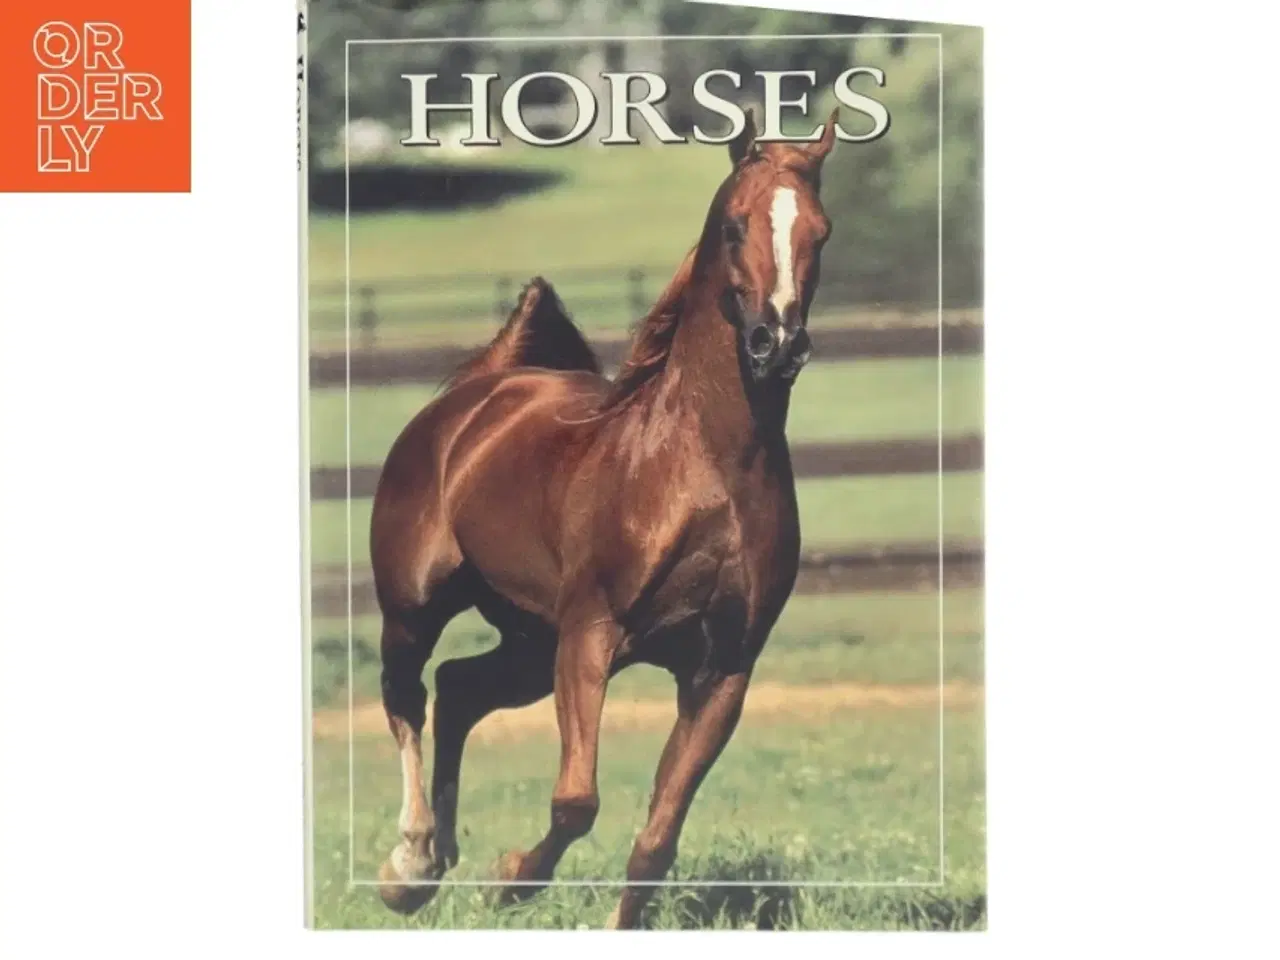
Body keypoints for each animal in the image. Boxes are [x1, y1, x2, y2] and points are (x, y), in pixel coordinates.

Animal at [370, 108, 839, 929]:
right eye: (735, 225)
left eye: (822, 230)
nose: (777, 344)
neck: (703, 471)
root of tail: (480, 394)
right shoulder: (591, 634)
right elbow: (576, 802)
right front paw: (512, 879)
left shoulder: (723, 669)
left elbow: (655, 843)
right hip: (417, 607)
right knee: (407, 697)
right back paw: (411, 867)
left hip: (529, 639)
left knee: (459, 689)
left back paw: (444, 856)